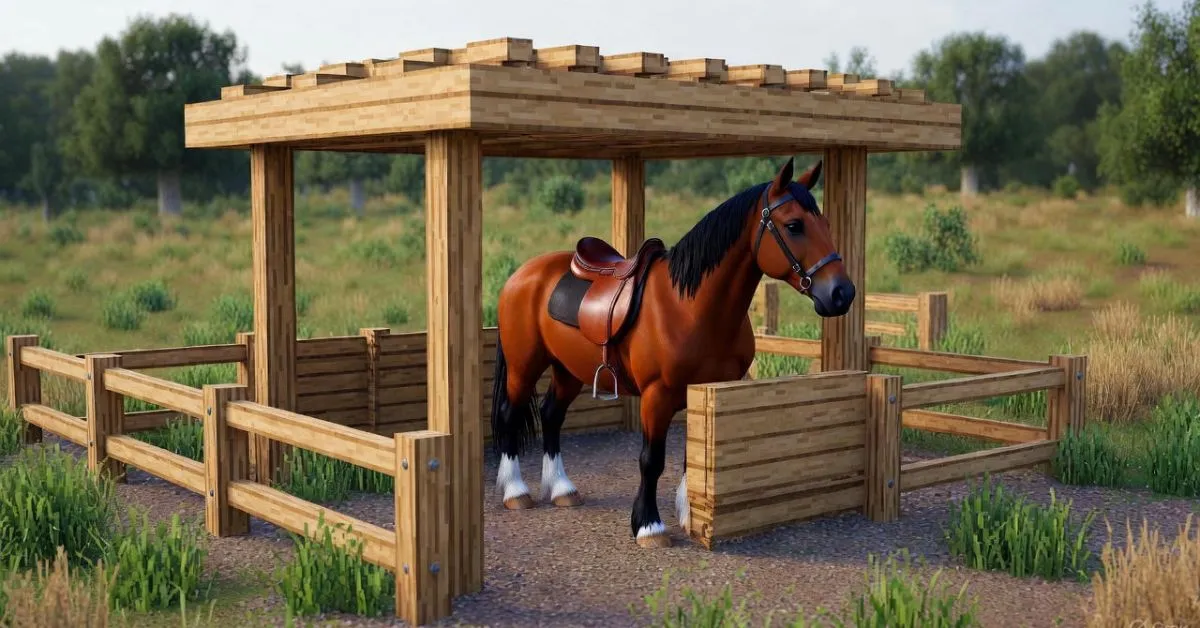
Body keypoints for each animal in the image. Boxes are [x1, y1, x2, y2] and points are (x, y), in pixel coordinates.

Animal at [488, 157, 855, 548]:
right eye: (794, 225)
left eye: (825, 224)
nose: (842, 293)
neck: (689, 306)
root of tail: (522, 275)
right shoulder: (657, 396)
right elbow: (652, 460)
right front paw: (649, 526)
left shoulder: (705, 392)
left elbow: (689, 458)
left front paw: (689, 517)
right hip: (524, 366)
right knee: (511, 414)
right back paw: (516, 492)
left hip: (568, 369)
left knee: (551, 414)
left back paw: (561, 489)